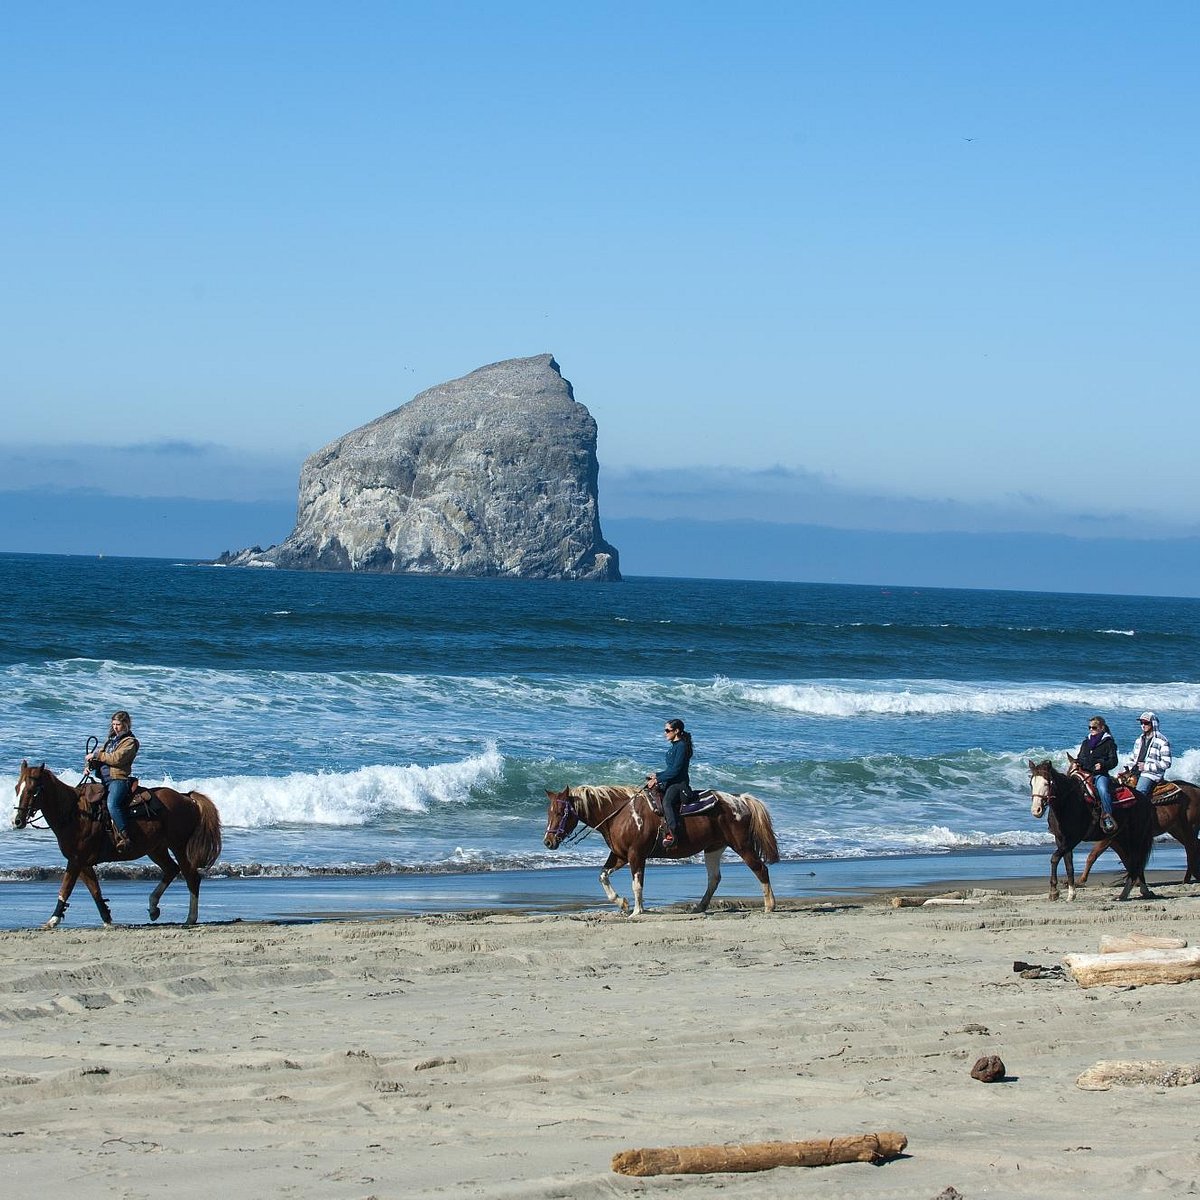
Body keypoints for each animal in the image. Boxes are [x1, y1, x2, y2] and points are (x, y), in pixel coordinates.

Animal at [12, 758, 223, 926]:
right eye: (17, 788)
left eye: (33, 790)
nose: (17, 821)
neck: (75, 813)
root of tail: (186, 797)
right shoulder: (83, 863)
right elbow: (95, 891)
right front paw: (107, 919)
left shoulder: (76, 860)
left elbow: (66, 888)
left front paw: (53, 919)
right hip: (156, 848)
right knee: (171, 870)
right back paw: (153, 907)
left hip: (178, 846)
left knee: (191, 877)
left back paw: (190, 918)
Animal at [542, 782, 777, 912]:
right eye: (549, 812)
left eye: (560, 812)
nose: (548, 842)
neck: (619, 814)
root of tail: (740, 800)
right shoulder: (619, 855)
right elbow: (602, 876)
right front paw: (622, 904)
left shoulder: (636, 855)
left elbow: (637, 884)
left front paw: (637, 911)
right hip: (713, 848)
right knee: (714, 879)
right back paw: (700, 907)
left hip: (742, 845)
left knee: (760, 869)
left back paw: (769, 906)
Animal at [1027, 758, 1156, 902]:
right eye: (1031, 783)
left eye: (1046, 783)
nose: (1036, 810)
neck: (1068, 802)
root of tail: (1145, 800)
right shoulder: (1061, 839)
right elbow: (1069, 865)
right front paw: (1071, 894)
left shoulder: (1073, 839)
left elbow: (1054, 858)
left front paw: (1054, 892)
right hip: (1120, 839)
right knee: (1132, 863)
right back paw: (1131, 893)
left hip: (1136, 838)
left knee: (1136, 862)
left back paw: (1133, 892)